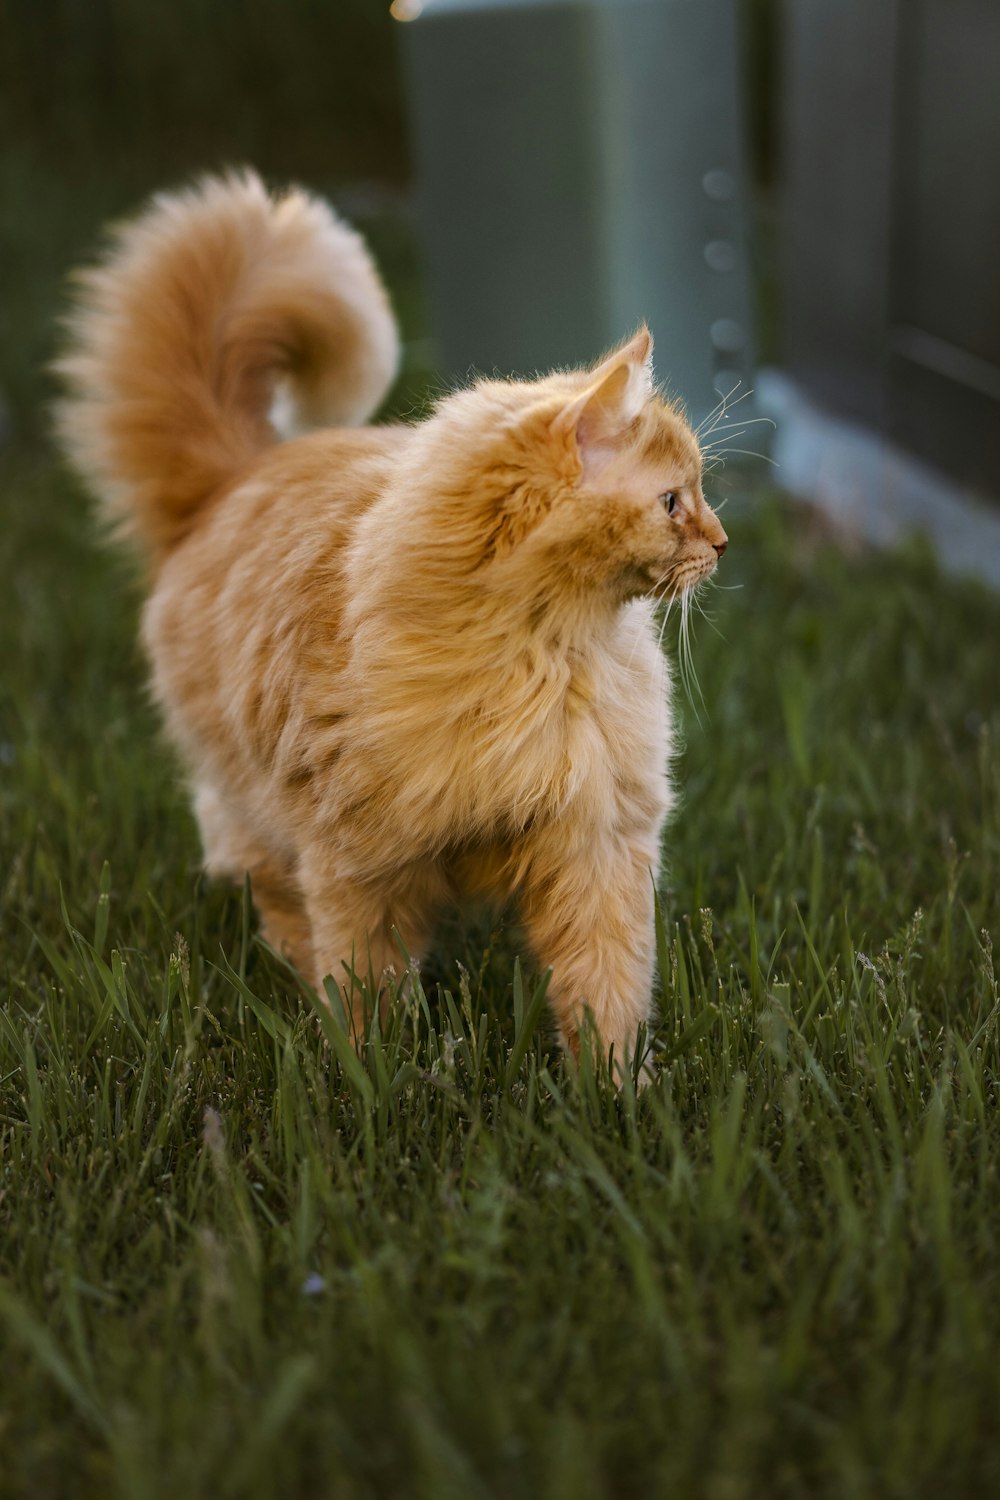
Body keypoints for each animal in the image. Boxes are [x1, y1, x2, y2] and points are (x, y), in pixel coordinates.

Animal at [56, 172, 728, 1080]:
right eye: (672, 502)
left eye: (696, 496)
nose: (722, 542)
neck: (540, 656)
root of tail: (238, 471)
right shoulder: (358, 862)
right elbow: (368, 984)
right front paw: (375, 1079)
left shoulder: (600, 842)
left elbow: (609, 987)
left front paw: (618, 1090)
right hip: (262, 797)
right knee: (259, 871)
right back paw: (283, 950)